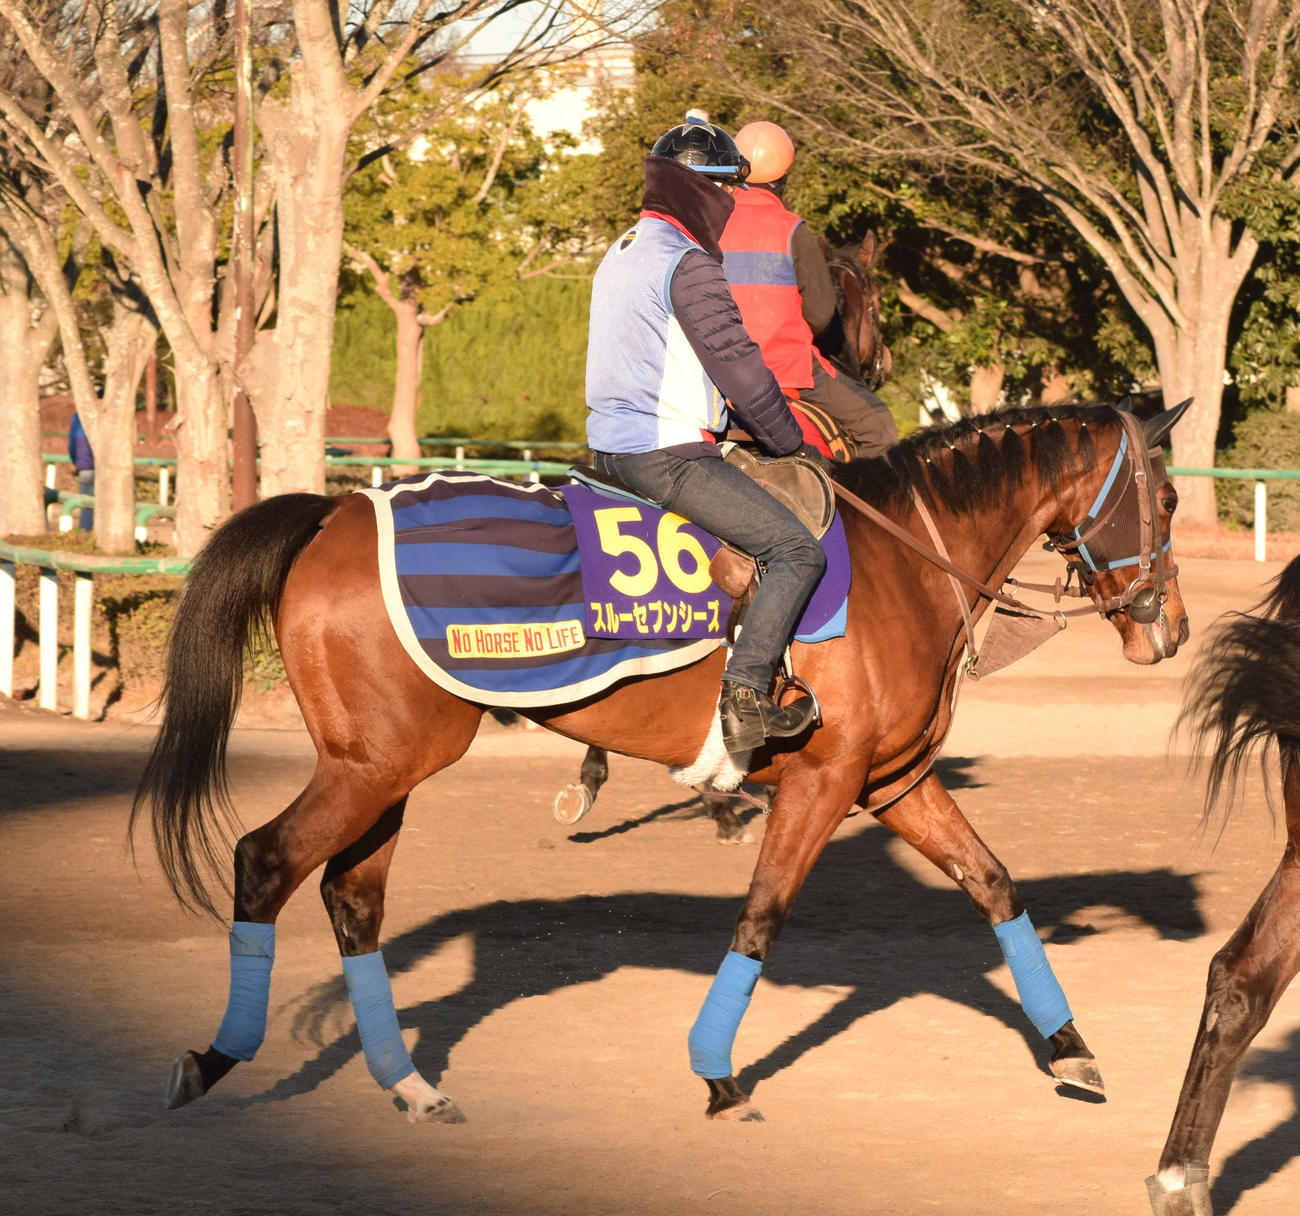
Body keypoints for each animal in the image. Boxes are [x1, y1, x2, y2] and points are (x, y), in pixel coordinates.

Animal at [132, 399, 1190, 1128]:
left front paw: (1071, 1051)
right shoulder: (822, 784)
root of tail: (331, 512)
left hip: (384, 769)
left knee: (352, 900)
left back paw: (411, 1084)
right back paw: (216, 1057)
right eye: (1171, 497)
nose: (1170, 628)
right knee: (265, 861)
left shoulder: (893, 782)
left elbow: (994, 885)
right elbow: (761, 918)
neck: (906, 561)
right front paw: (719, 1077)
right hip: (379, 762)